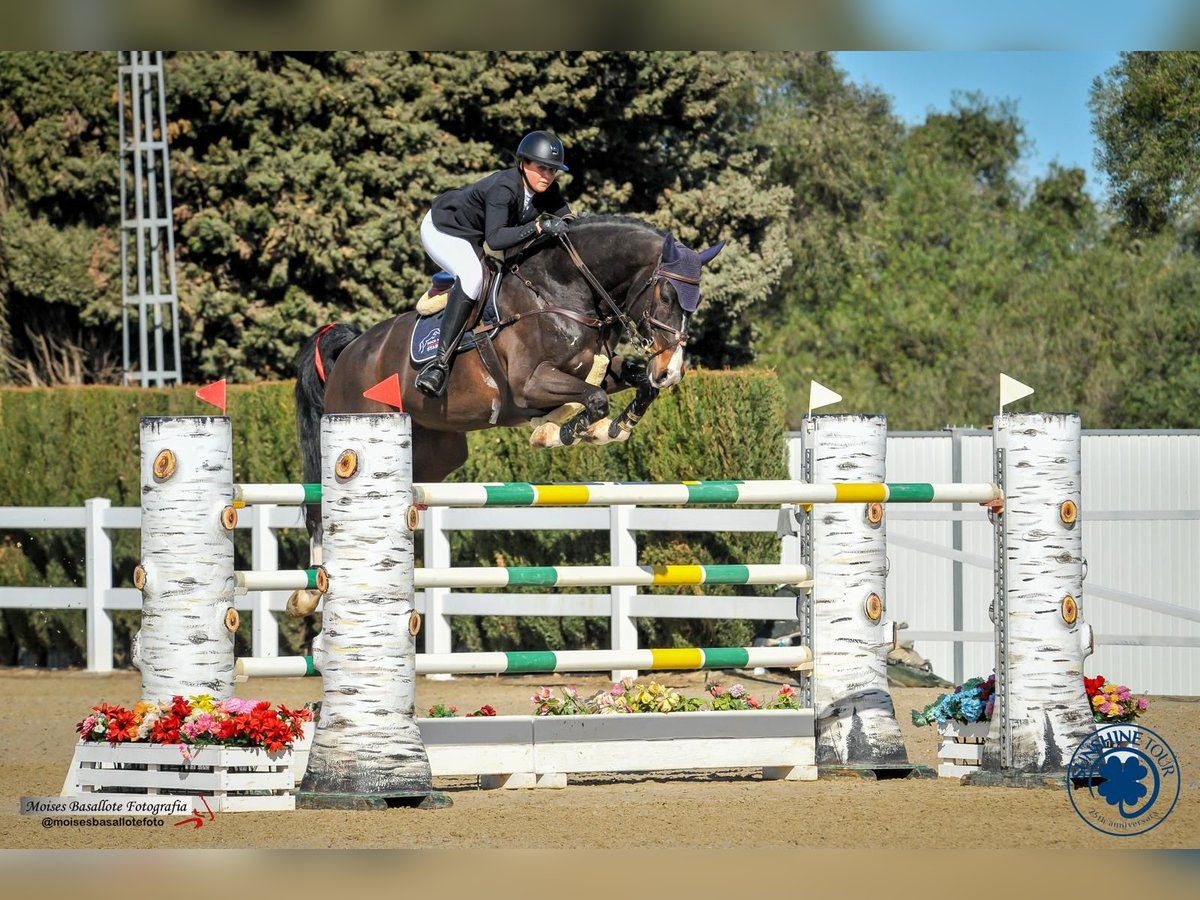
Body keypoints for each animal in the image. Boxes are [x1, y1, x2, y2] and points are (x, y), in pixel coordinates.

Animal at [289, 214, 720, 619]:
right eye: (665, 295)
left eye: (695, 301)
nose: (670, 371)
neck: (562, 291)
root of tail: (351, 350)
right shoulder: (528, 385)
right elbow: (594, 398)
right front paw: (560, 431)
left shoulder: (597, 368)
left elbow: (633, 386)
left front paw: (613, 428)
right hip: (355, 426)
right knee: (320, 509)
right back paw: (312, 591)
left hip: (438, 450)